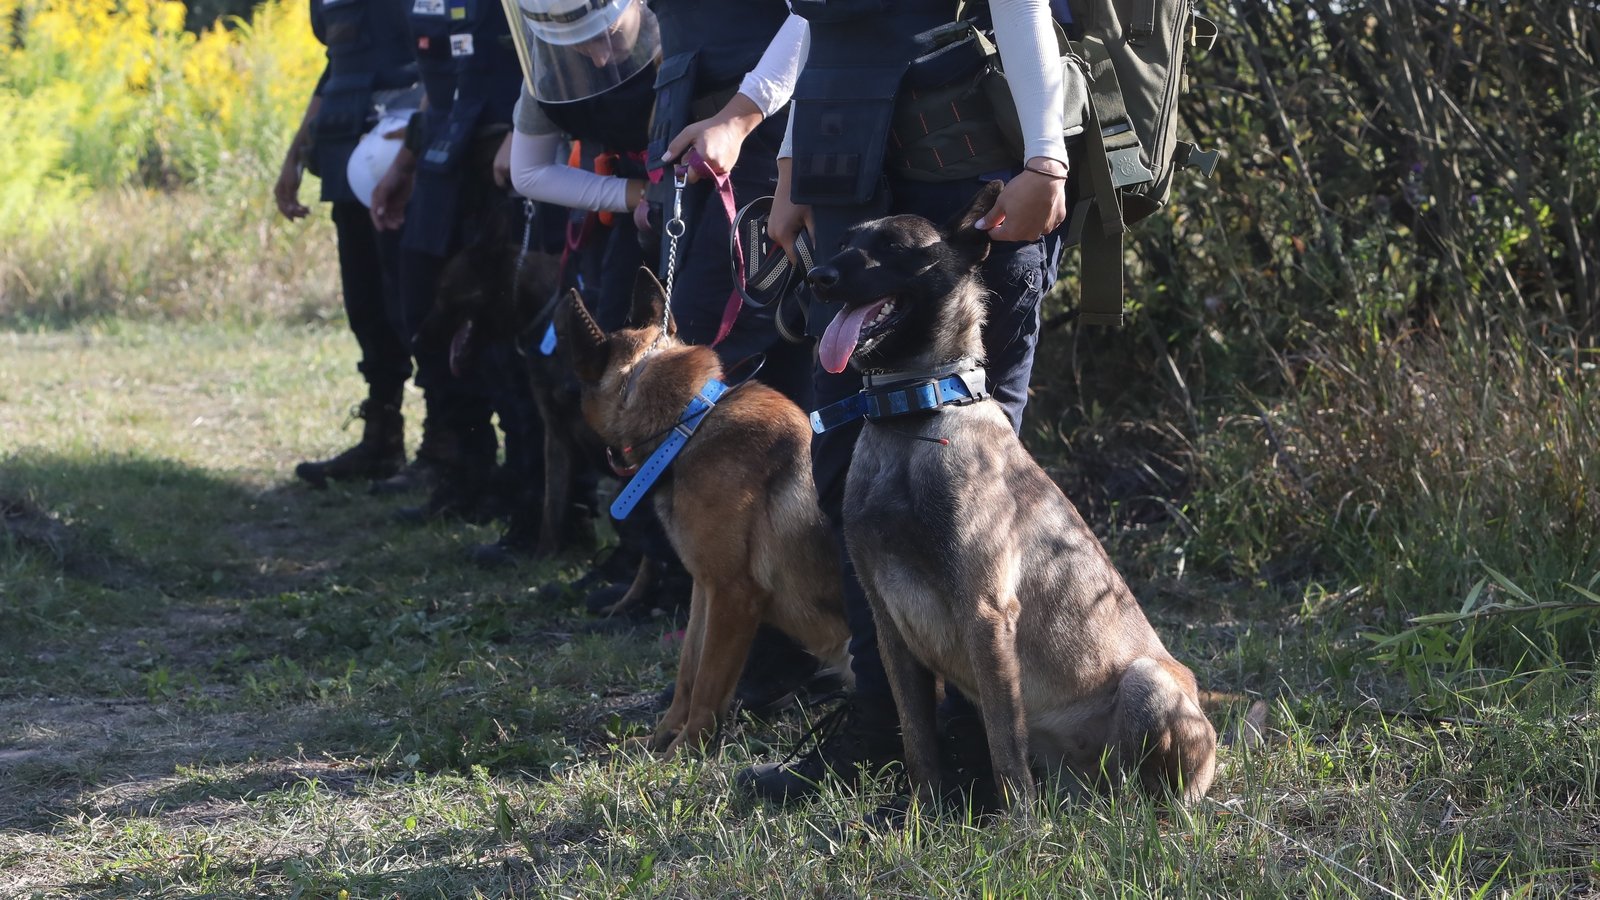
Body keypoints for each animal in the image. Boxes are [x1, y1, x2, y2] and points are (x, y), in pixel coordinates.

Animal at [556, 265, 851, 749]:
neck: (688, 425)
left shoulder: (734, 594)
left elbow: (710, 684)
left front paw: (684, 748)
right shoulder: (704, 589)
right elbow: (688, 673)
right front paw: (659, 738)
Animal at [806, 180, 1216, 807]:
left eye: (895, 246)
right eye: (845, 241)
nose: (817, 277)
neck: (915, 416)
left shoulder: (986, 613)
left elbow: (1002, 741)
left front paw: (1018, 823)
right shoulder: (888, 626)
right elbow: (917, 738)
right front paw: (923, 812)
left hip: (1147, 684)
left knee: (1159, 791)